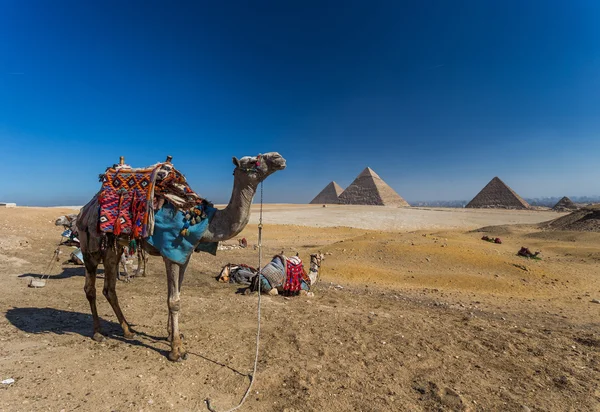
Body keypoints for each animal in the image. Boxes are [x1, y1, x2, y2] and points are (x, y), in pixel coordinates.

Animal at [77, 151, 286, 360]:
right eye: (252, 161)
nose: (279, 158)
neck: (205, 222)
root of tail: (84, 210)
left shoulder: (184, 256)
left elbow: (175, 294)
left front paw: (171, 335)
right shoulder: (171, 252)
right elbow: (174, 301)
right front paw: (177, 350)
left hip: (113, 248)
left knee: (109, 289)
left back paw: (128, 330)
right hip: (90, 245)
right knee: (90, 288)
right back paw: (98, 332)